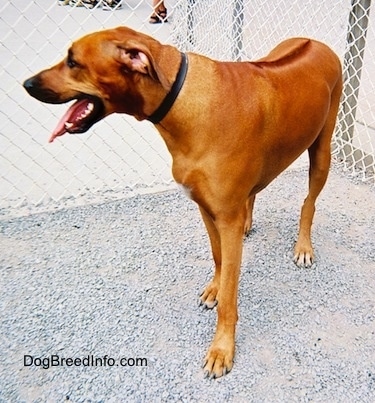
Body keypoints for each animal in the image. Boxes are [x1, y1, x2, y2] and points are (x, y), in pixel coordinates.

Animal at [22, 26, 342, 380]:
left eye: (73, 61)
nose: (27, 84)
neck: (182, 100)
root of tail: (317, 43)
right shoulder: (205, 208)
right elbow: (219, 257)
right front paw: (215, 287)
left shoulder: (225, 217)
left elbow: (230, 294)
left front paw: (221, 349)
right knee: (254, 191)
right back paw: (249, 222)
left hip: (322, 150)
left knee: (309, 202)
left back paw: (303, 246)